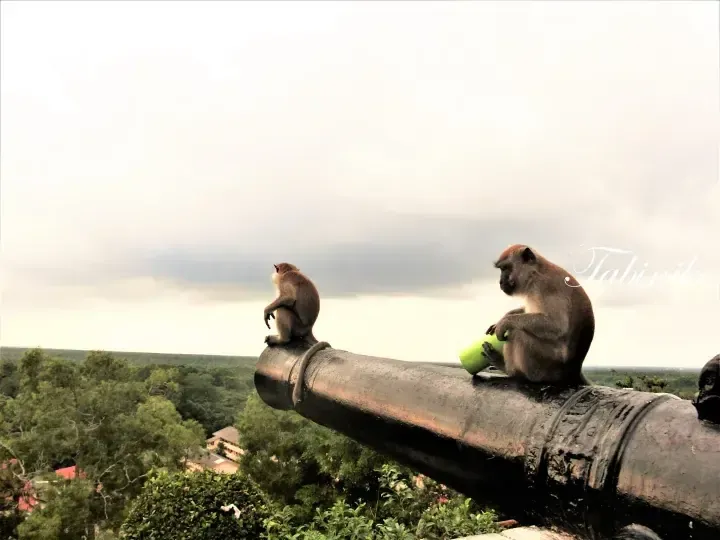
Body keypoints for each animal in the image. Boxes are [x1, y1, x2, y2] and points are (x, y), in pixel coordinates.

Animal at [263, 262, 330, 405]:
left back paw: (282, 339)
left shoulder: (284, 281)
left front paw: (267, 310)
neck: (289, 271)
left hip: (297, 326)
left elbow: (289, 298)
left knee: (283, 309)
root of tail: (309, 329)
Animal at [481, 244, 595, 386]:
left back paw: (509, 370)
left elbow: (557, 325)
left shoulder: (546, 286)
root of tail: (574, 369)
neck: (534, 274)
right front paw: (502, 318)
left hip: (548, 365)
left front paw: (505, 322)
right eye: (501, 269)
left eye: (505, 268)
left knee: (517, 332)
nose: (500, 281)